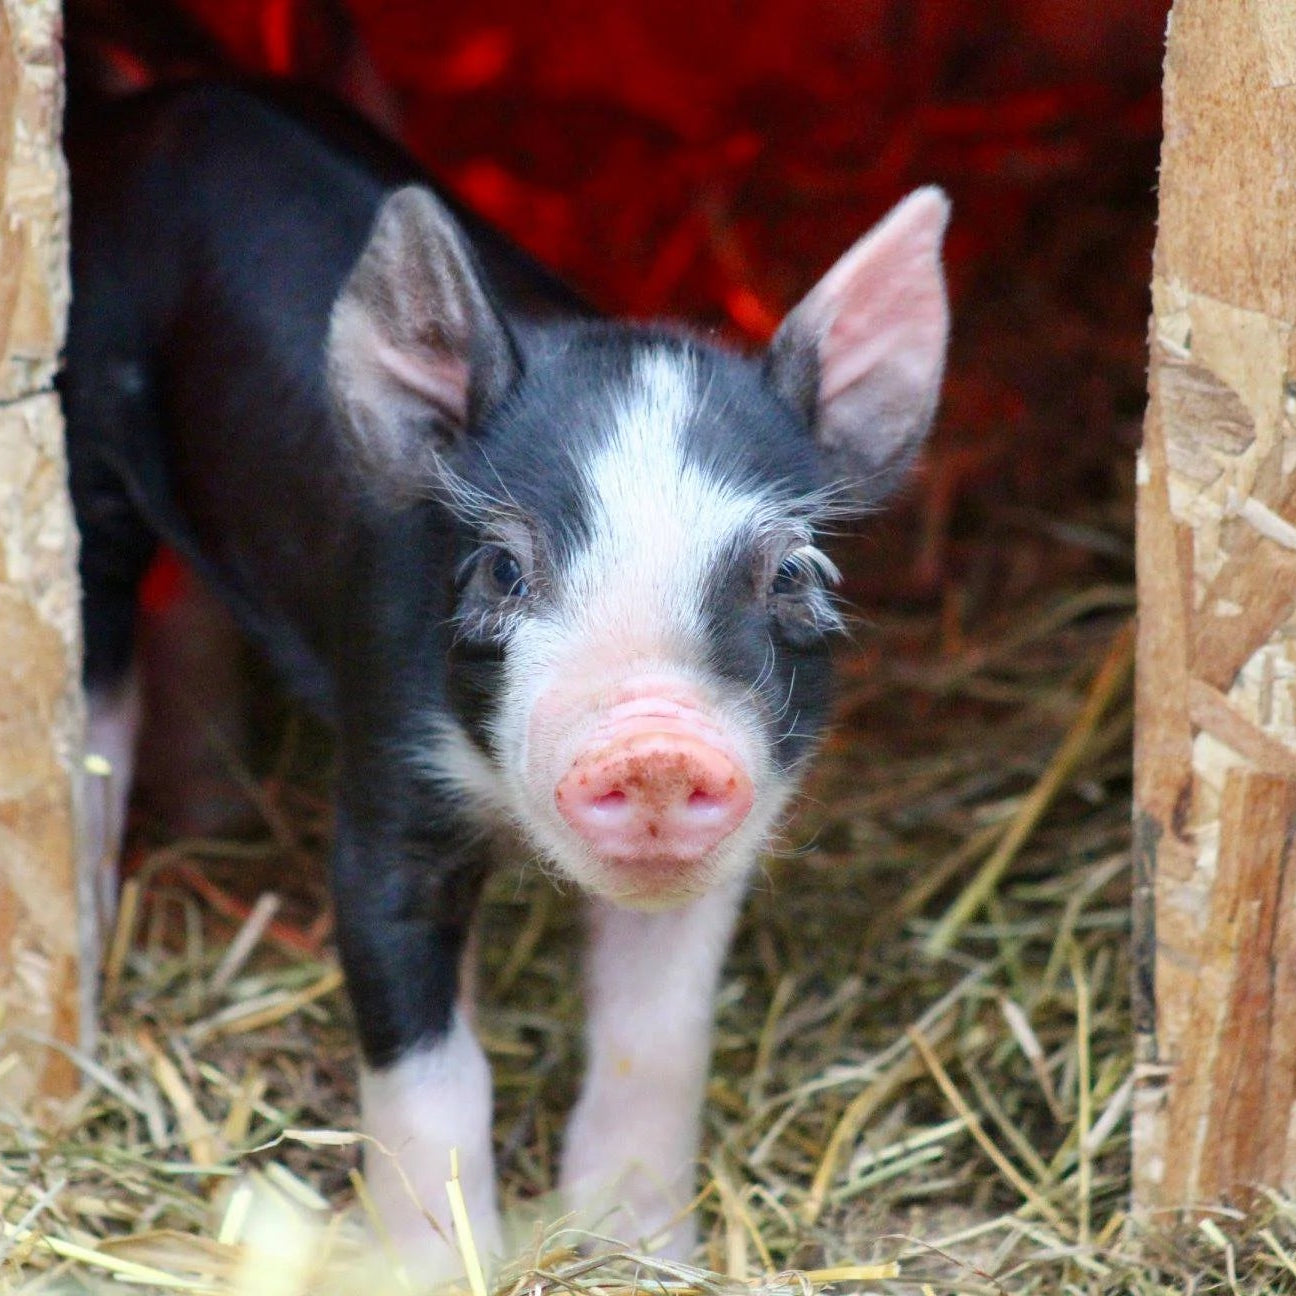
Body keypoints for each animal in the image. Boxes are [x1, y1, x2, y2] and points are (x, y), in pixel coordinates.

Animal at [64, 81, 949, 1278]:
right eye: (502, 568)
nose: (657, 745)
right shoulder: (389, 789)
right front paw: (440, 1270)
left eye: (792, 575)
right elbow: (430, 1064)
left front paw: (644, 1250)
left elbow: (656, 1037)